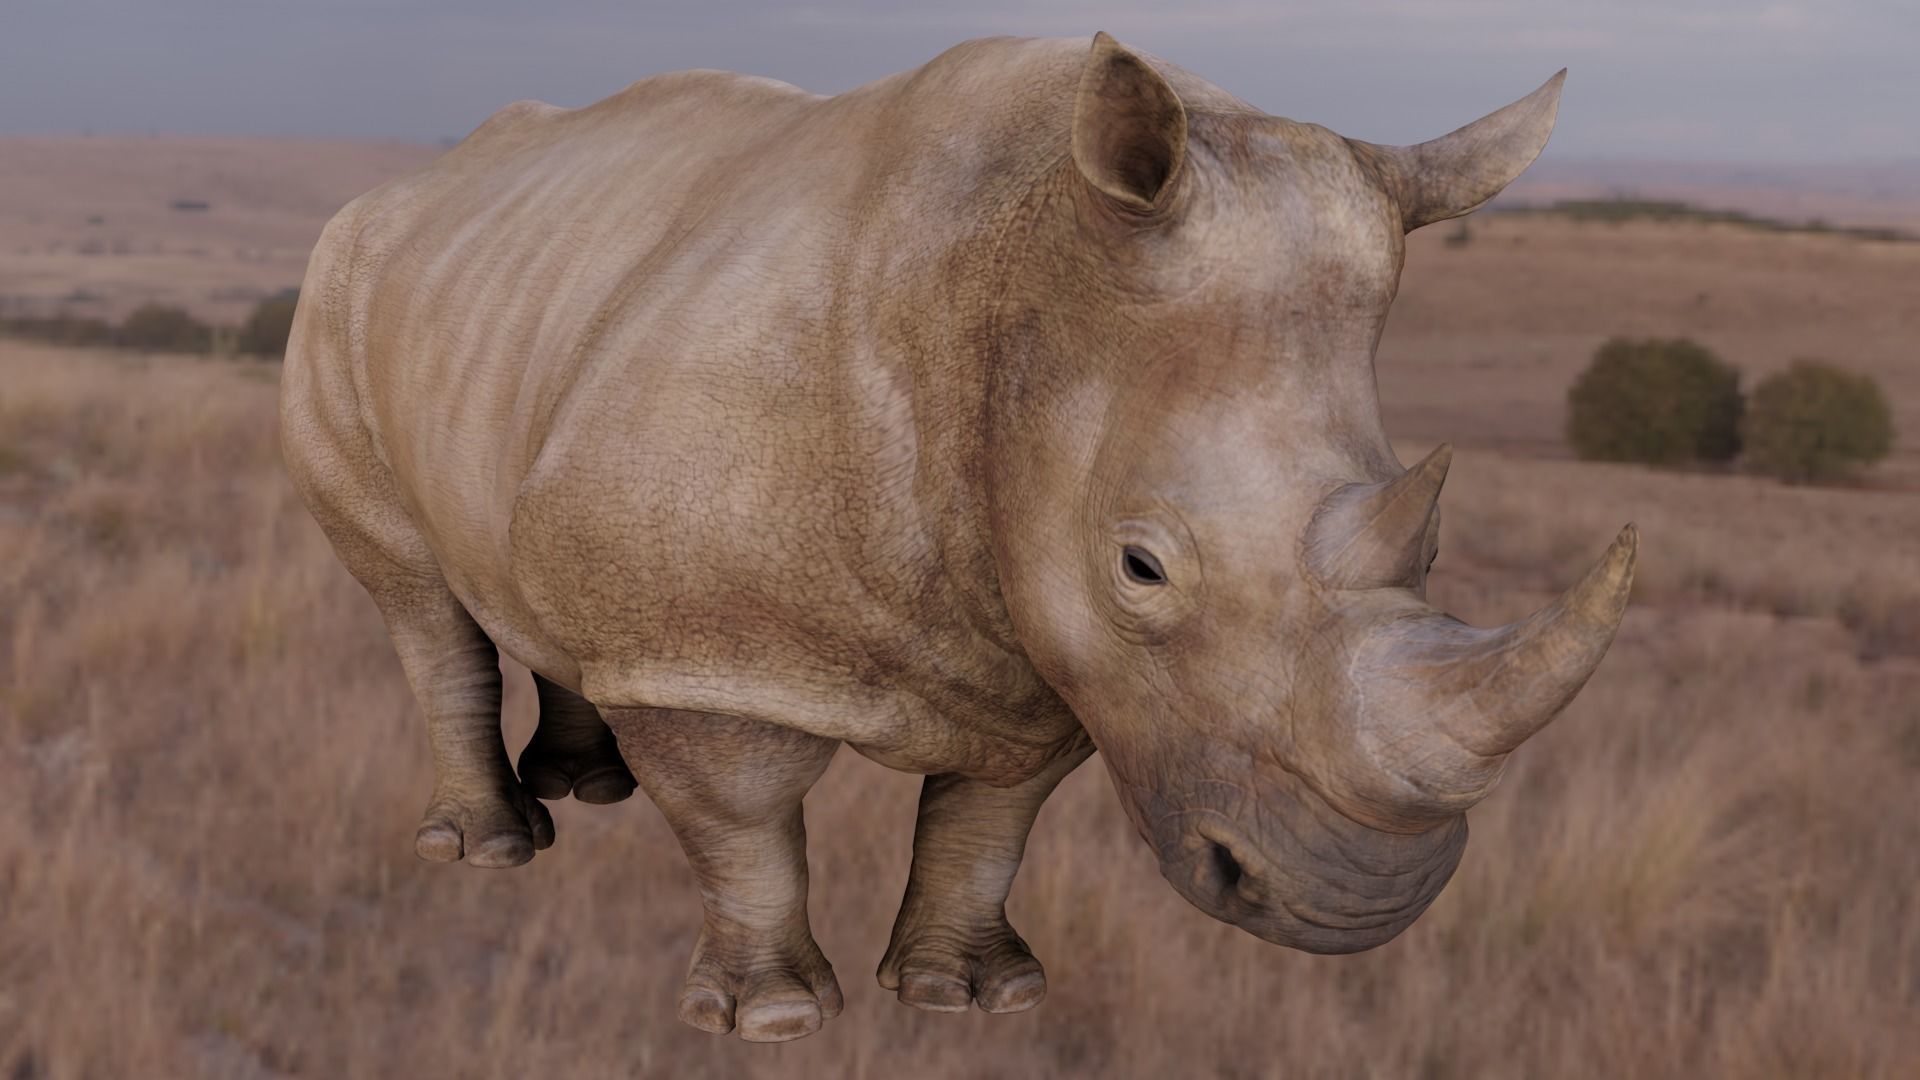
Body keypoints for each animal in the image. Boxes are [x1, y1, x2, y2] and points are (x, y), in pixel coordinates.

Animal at [280, 32, 1636, 1042]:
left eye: (1433, 552)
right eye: (1141, 568)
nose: (1358, 906)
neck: (1011, 271)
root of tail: (412, 188)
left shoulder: (1041, 640)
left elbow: (993, 815)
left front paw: (970, 997)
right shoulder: (704, 646)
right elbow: (742, 813)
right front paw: (776, 1019)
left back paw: (590, 788)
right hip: (338, 283)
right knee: (415, 595)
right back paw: (489, 851)